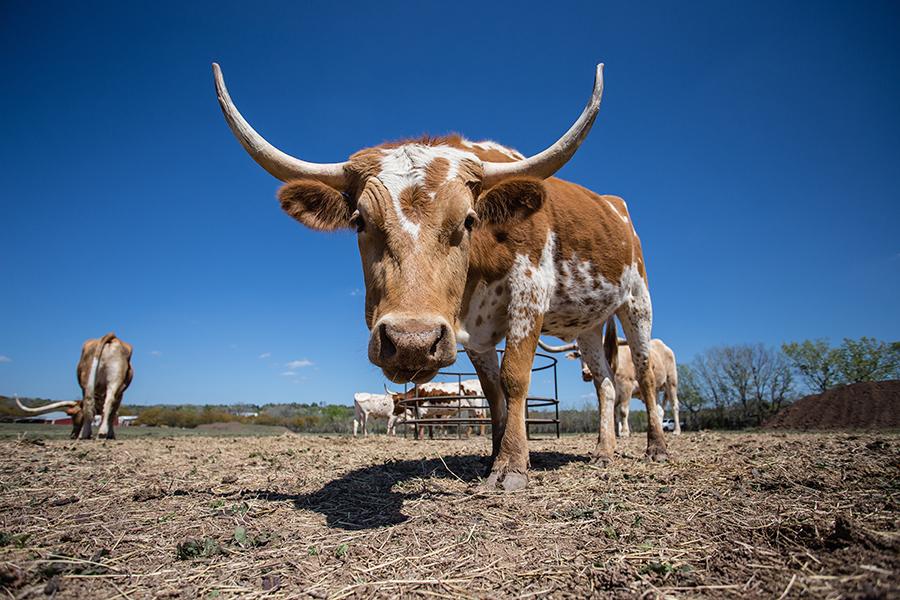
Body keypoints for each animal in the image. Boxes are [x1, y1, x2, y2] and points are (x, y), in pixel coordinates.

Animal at [213, 61, 668, 490]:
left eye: (469, 220)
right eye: (360, 221)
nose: (410, 343)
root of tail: (615, 206)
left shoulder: (529, 295)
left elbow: (514, 377)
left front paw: (512, 467)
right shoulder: (473, 330)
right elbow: (492, 391)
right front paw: (494, 458)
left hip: (637, 304)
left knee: (644, 373)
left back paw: (656, 448)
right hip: (587, 324)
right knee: (604, 383)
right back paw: (604, 451)